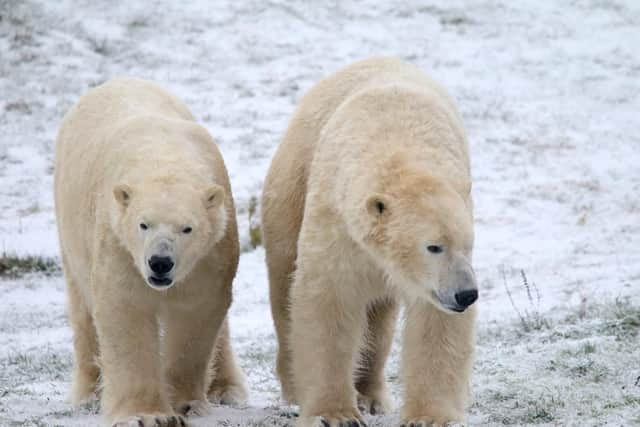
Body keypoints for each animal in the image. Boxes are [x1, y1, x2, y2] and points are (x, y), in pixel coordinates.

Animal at [54, 78, 248, 426]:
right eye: (143, 224)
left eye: (187, 228)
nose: (160, 263)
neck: (166, 160)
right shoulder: (118, 243)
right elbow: (125, 310)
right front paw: (146, 414)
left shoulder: (209, 257)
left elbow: (196, 312)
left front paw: (186, 403)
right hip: (71, 230)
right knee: (82, 308)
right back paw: (89, 393)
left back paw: (226, 389)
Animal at [262, 57, 478, 427]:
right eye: (434, 246)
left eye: (468, 244)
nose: (467, 294)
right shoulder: (337, 223)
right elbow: (327, 303)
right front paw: (333, 414)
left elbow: (434, 322)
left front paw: (430, 416)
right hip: (291, 184)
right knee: (284, 286)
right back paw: (294, 390)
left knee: (378, 322)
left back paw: (370, 395)